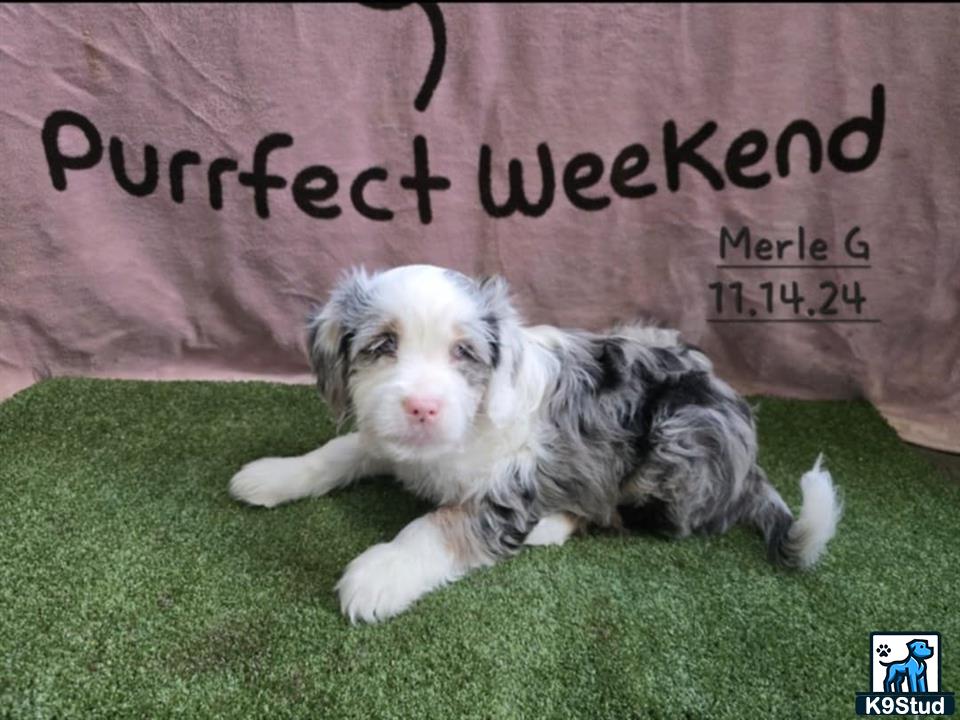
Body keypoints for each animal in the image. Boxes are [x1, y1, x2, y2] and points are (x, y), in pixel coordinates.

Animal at [231, 268, 840, 620]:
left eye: (464, 353)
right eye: (383, 345)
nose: (423, 407)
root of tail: (751, 465)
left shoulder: (509, 486)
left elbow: (434, 525)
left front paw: (377, 575)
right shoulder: (388, 435)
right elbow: (345, 449)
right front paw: (275, 474)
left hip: (678, 433)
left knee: (633, 516)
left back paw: (550, 525)